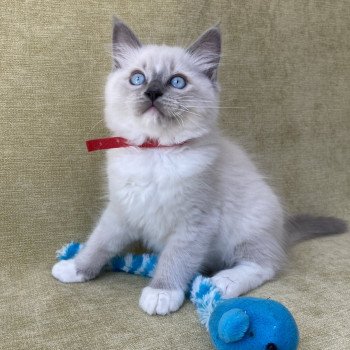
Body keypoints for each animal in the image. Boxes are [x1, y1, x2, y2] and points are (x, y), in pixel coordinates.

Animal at [52, 18, 348, 314]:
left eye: (177, 82)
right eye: (138, 78)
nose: (153, 92)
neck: (155, 152)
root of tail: (282, 231)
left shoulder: (194, 222)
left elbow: (175, 259)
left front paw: (161, 293)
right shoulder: (122, 209)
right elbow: (99, 241)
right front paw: (75, 268)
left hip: (250, 224)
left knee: (265, 264)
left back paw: (222, 282)